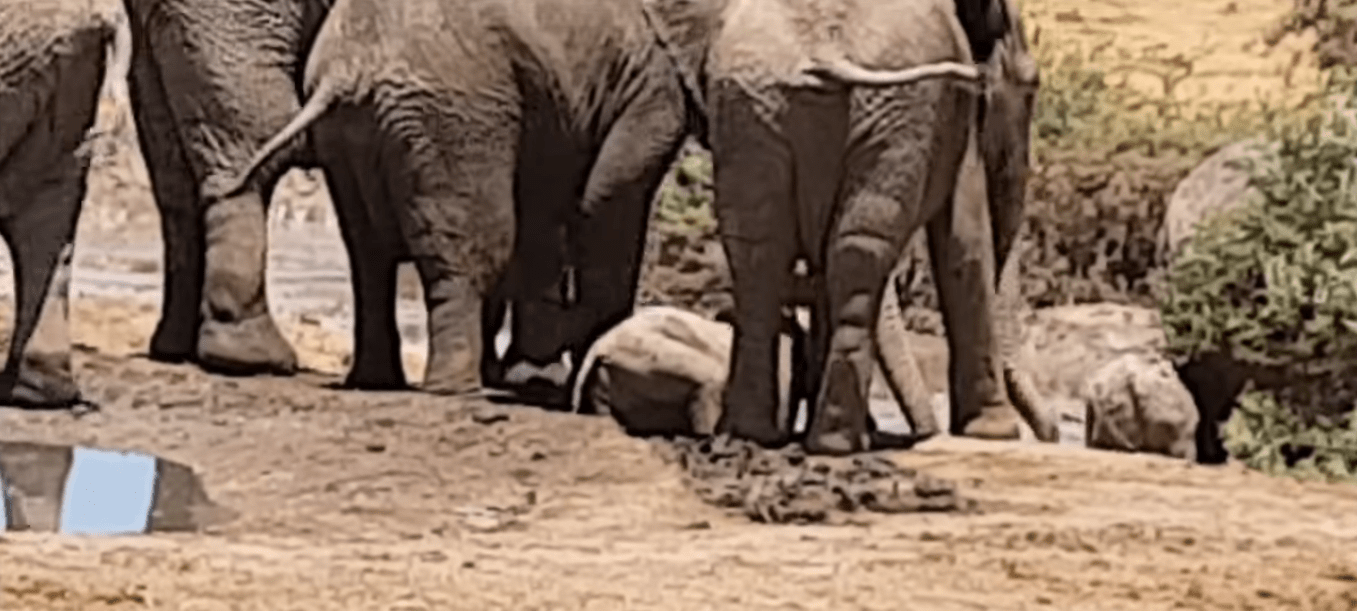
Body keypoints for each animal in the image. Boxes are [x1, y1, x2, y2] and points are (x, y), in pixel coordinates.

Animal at [644, 0, 1049, 453]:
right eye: (1031, 86)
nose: (1049, 435)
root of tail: (822, 56)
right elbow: (966, 239)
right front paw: (996, 433)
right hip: (892, 112)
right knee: (855, 255)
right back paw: (840, 441)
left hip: (753, 109)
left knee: (762, 256)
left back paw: (754, 433)